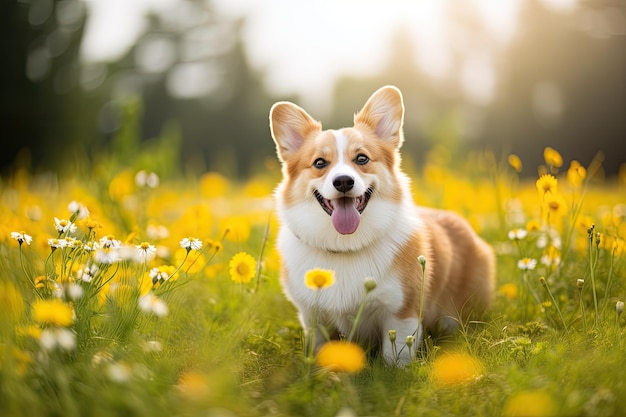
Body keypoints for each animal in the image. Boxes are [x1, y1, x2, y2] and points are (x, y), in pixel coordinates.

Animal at [268, 85, 492, 364]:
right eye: (320, 162)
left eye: (362, 158)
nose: (344, 181)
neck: (345, 247)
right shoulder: (312, 317)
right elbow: (321, 350)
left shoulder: (401, 314)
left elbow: (394, 359)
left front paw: (394, 371)